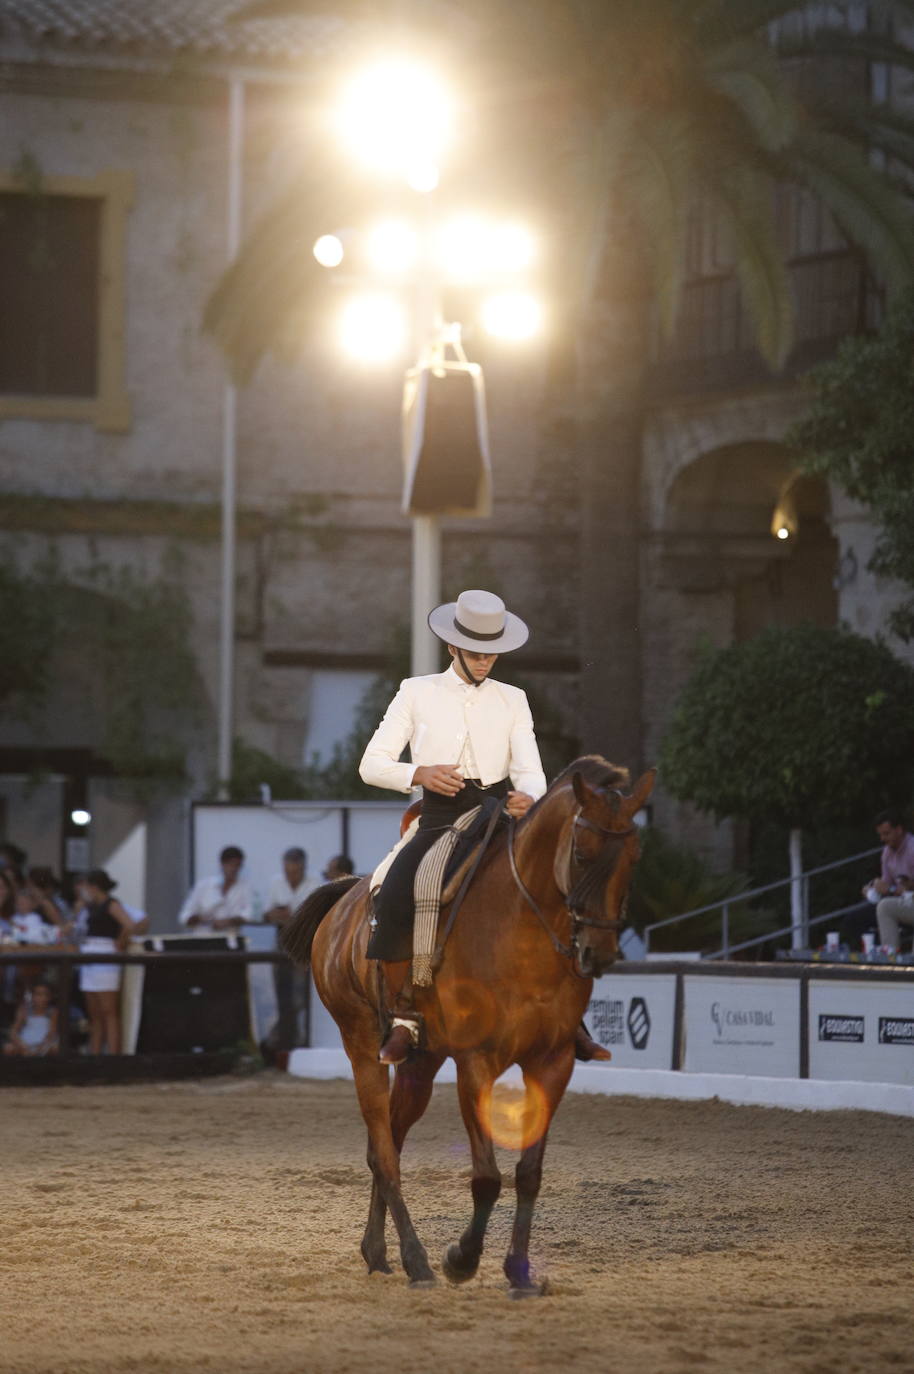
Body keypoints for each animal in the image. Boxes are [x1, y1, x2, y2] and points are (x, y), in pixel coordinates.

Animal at [281, 758, 651, 1291]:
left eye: (634, 857)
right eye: (581, 852)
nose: (597, 953)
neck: (519, 931)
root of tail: (345, 898)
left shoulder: (553, 1063)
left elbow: (529, 1173)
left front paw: (518, 1270)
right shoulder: (476, 1064)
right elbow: (487, 1176)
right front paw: (461, 1259)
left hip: (419, 1062)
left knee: (388, 1142)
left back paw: (377, 1252)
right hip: (361, 1046)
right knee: (384, 1153)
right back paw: (416, 1261)